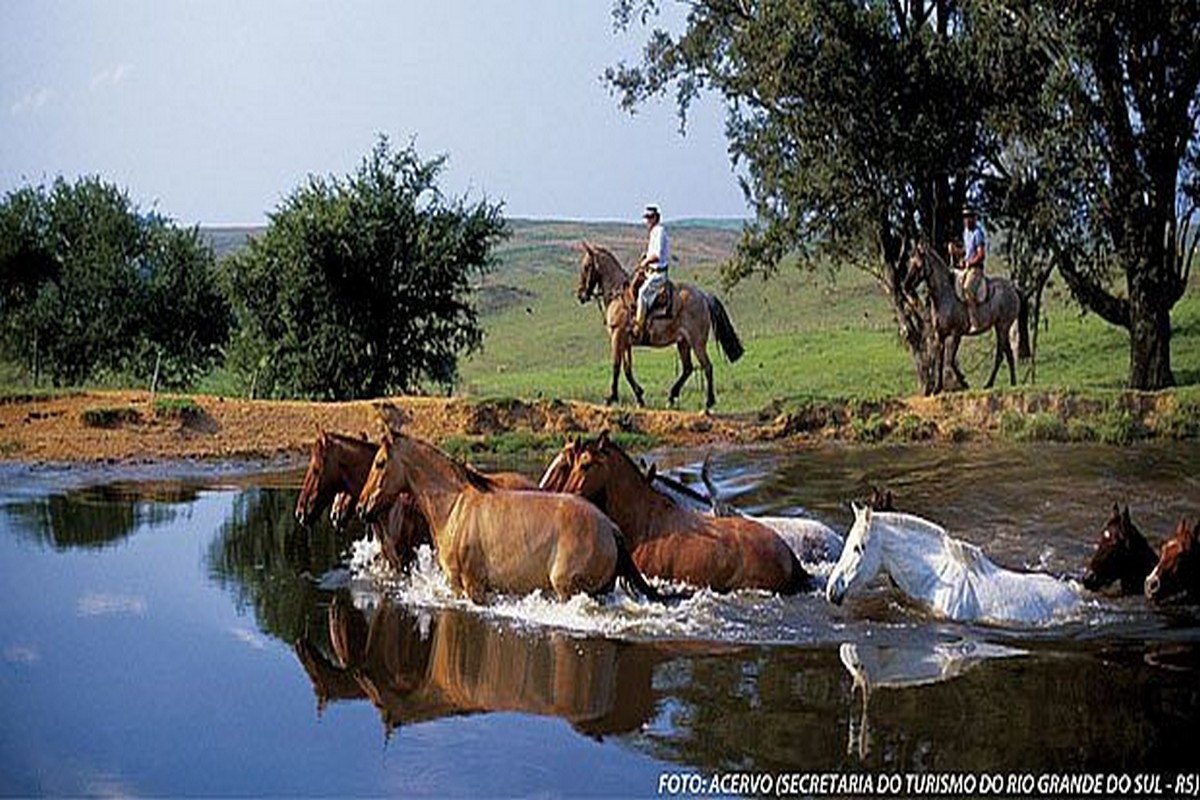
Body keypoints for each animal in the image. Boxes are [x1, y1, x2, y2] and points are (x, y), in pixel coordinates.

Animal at [355, 429, 667, 604]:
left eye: (379, 463)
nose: (361, 507)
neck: (454, 506)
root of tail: (610, 528)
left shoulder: (472, 587)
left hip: (570, 589)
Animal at [573, 241, 739, 410]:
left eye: (586, 266)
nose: (580, 294)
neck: (617, 294)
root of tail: (704, 297)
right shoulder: (626, 342)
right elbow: (627, 369)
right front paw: (639, 397)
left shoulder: (617, 336)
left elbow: (616, 366)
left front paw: (611, 397)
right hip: (683, 342)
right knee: (688, 368)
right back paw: (671, 397)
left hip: (697, 342)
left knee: (707, 366)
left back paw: (708, 402)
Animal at [902, 244, 1027, 393]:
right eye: (909, 263)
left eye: (919, 264)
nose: (905, 285)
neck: (944, 295)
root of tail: (1013, 289)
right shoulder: (940, 335)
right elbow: (940, 360)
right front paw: (937, 388)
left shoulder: (956, 334)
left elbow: (949, 360)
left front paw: (963, 382)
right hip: (1001, 327)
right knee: (1008, 354)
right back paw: (1013, 383)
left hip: (1002, 327)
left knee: (1000, 355)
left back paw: (989, 384)